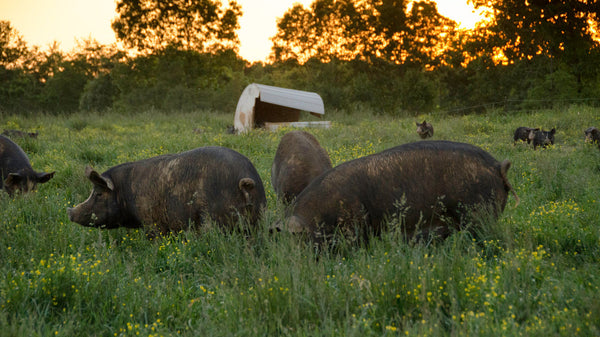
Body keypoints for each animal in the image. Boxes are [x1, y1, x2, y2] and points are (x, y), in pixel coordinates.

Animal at [67, 146, 268, 235]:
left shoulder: (151, 221)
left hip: (214, 218)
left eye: (98, 193)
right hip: (256, 219)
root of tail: (246, 180)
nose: (69, 211)